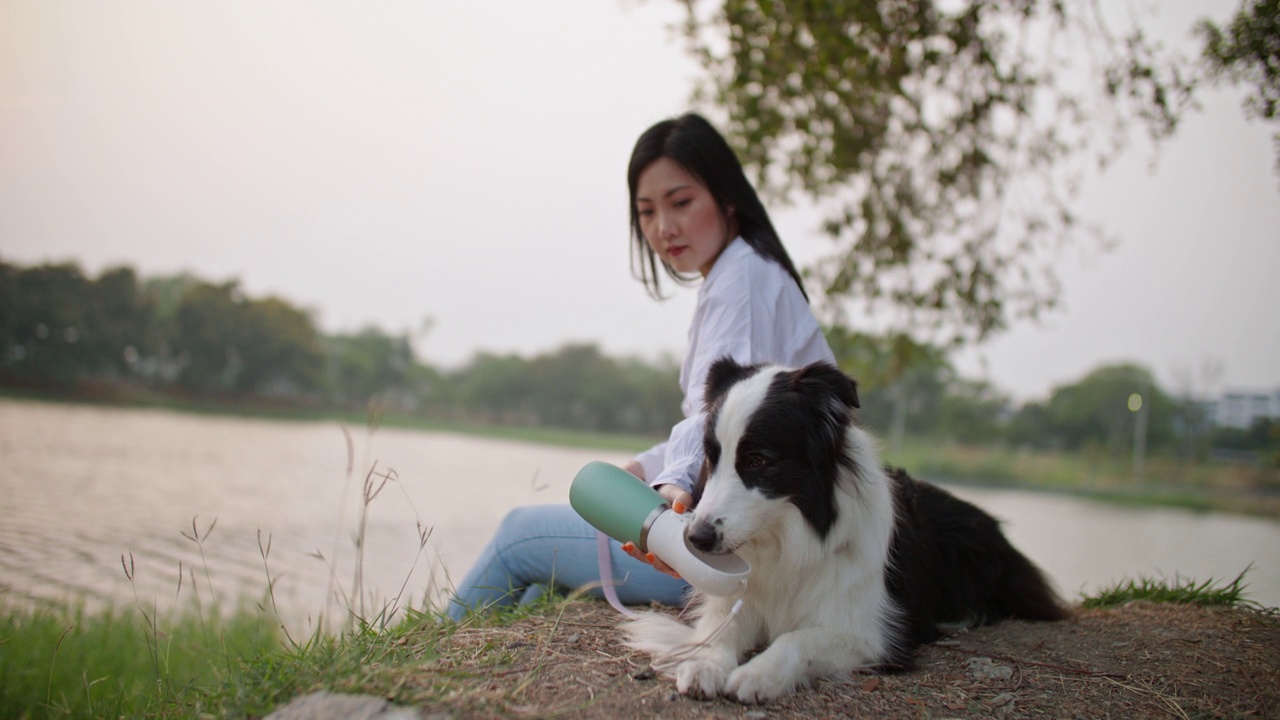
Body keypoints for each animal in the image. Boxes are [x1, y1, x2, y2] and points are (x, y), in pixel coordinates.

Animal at [624, 358, 1064, 702]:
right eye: (711, 458)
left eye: (758, 460)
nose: (696, 539)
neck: (789, 537)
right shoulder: (737, 599)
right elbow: (719, 630)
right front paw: (704, 663)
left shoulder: (873, 632)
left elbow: (797, 638)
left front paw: (758, 674)